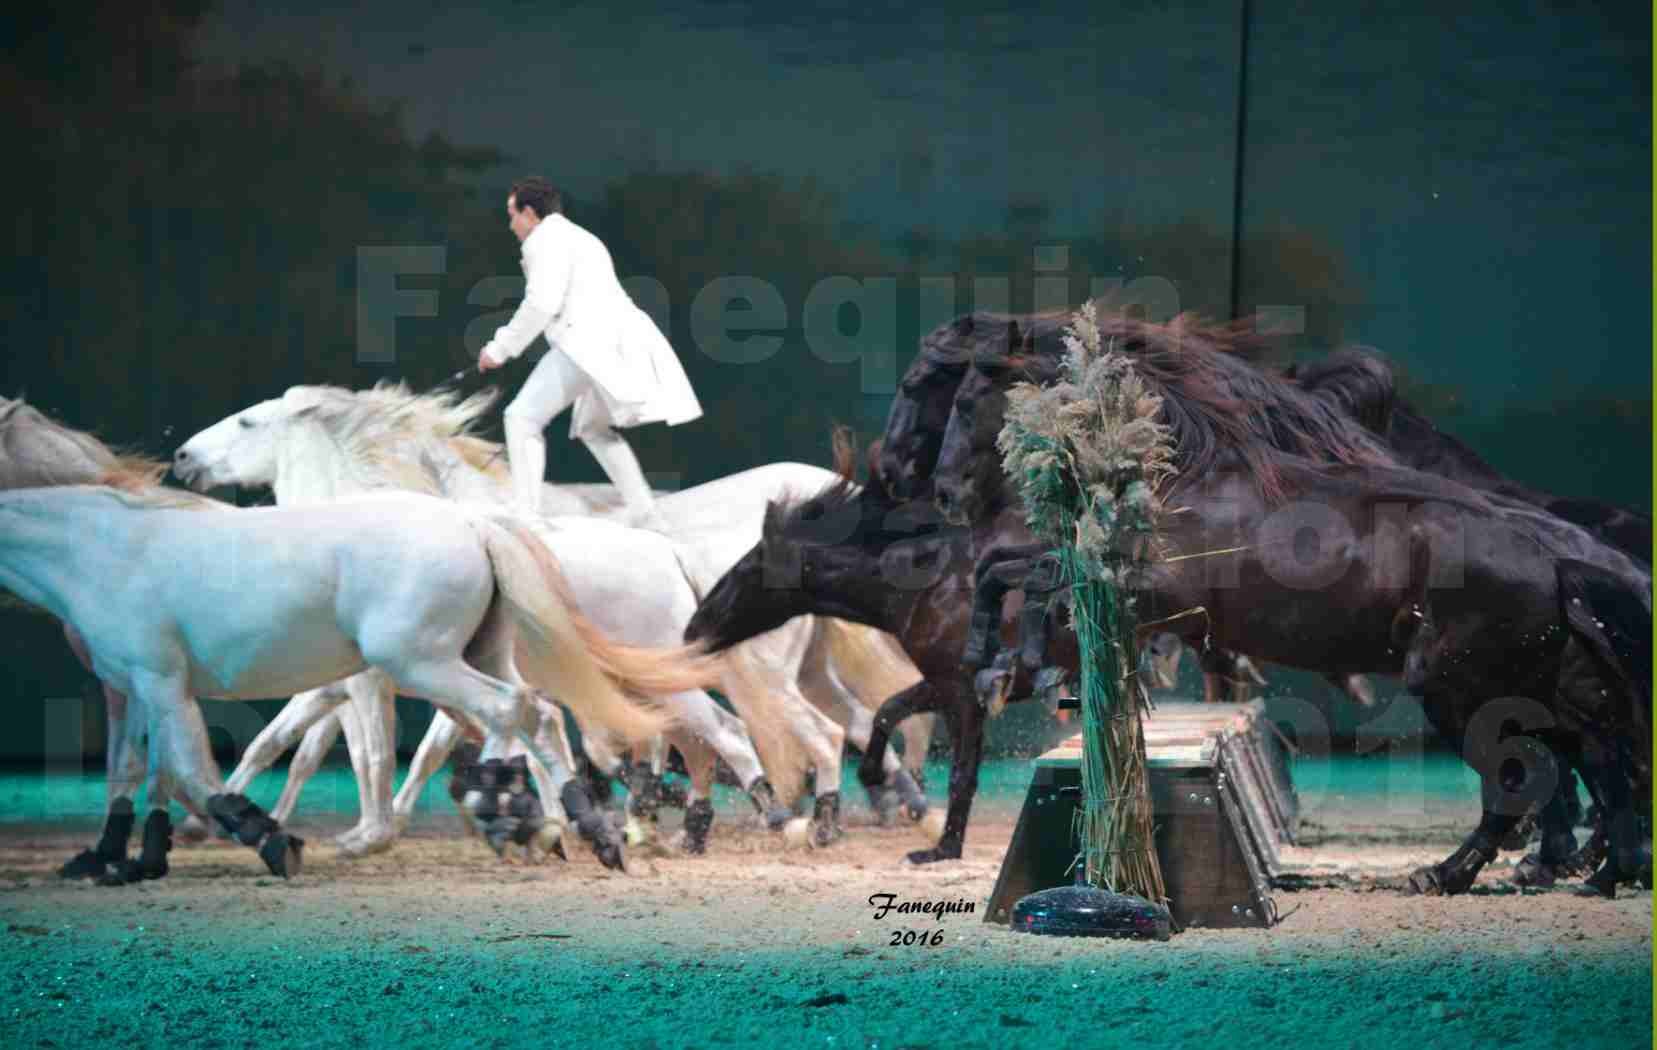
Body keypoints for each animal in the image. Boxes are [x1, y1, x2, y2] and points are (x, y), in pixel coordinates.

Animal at [1, 447, 725, 867]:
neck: (105, 548)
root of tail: (471, 524)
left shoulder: (163, 682)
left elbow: (196, 770)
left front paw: (265, 837)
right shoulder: (127, 689)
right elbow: (133, 768)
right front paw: (108, 856)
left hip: (421, 662)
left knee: (512, 711)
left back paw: (514, 813)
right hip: (477, 656)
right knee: (536, 716)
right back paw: (575, 826)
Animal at [178, 384, 934, 847]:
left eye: (248, 421)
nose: (184, 456)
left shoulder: (387, 676)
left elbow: (369, 745)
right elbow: (293, 742)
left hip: (760, 678)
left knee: (805, 734)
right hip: (802, 673)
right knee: (847, 725)